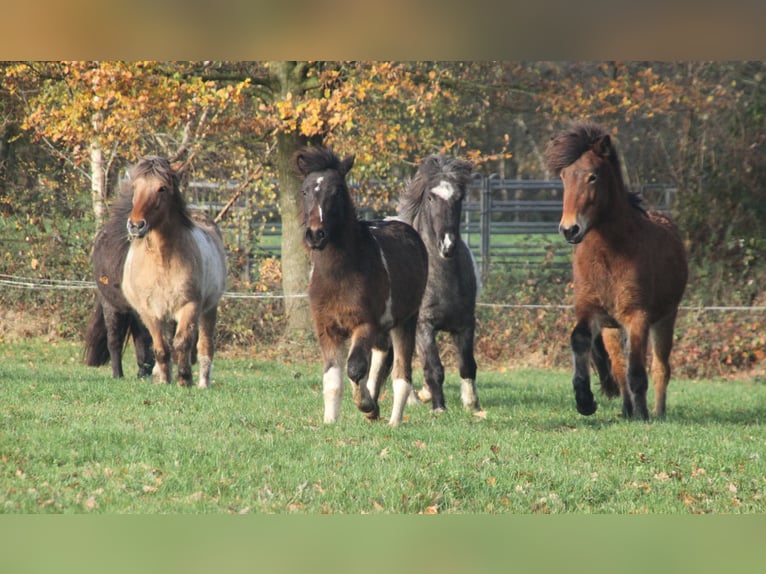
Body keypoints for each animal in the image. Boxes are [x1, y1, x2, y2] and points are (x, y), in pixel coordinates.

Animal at [121, 156, 227, 389]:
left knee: (205, 347)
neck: (162, 261)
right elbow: (161, 348)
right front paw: (164, 380)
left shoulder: (190, 306)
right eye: (135, 187)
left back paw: (203, 383)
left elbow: (182, 343)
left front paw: (184, 379)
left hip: (208, 310)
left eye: (162, 188)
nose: (136, 225)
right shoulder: (150, 312)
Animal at [294, 146, 429, 426]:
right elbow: (332, 379)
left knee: (401, 375)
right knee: (381, 359)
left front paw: (365, 405)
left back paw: (393, 420)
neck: (339, 276)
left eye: (336, 191)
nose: (315, 235)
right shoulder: (327, 329)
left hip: (405, 321)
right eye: (305, 191)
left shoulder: (364, 324)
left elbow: (355, 368)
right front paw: (330, 421)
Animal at [397, 154, 481, 413]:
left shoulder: (465, 325)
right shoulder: (424, 326)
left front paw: (472, 405)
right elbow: (434, 368)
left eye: (459, 197)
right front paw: (438, 406)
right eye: (431, 197)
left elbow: (467, 365)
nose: (447, 244)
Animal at [545, 122, 688, 420]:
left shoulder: (637, 317)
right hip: (612, 329)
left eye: (593, 177)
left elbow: (638, 372)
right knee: (620, 368)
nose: (569, 229)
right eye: (564, 176)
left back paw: (656, 413)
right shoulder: (591, 312)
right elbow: (580, 341)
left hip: (665, 318)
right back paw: (626, 410)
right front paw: (584, 400)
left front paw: (643, 416)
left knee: (660, 368)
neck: (609, 255)